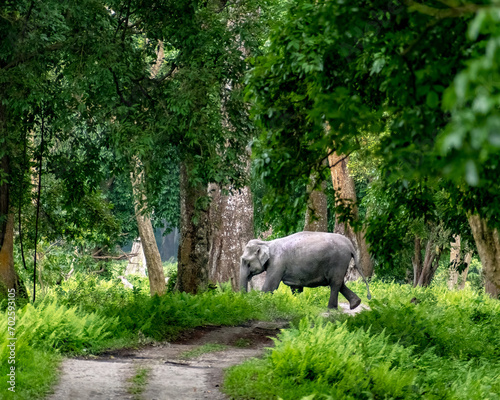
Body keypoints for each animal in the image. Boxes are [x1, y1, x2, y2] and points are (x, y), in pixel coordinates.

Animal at [238, 231, 372, 310]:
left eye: (246, 262)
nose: (244, 298)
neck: (266, 243)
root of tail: (350, 245)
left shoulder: (277, 263)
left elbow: (270, 286)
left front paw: (259, 303)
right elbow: (296, 288)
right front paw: (297, 304)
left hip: (338, 260)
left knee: (335, 283)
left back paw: (331, 309)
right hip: (340, 263)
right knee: (339, 283)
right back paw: (355, 304)